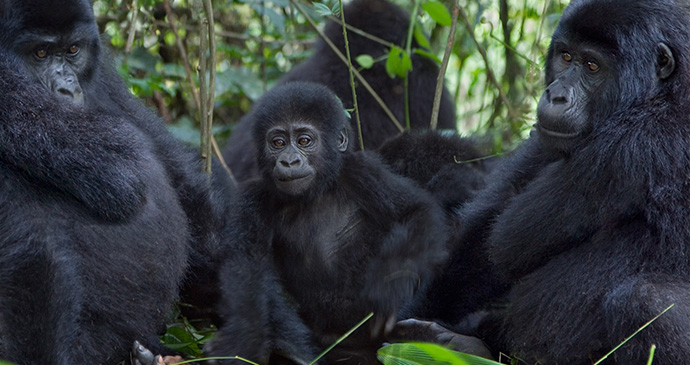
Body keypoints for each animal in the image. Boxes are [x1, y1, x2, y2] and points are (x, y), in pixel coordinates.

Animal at [0, 0, 234, 362]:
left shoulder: (105, 77)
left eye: (73, 50)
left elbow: (177, 172)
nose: (67, 89)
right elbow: (31, 251)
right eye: (39, 53)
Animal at [210, 82, 446, 364]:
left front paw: (391, 286)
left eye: (304, 141)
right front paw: (242, 342)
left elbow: (415, 211)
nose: (289, 161)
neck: (315, 193)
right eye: (277, 142)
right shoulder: (251, 199)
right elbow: (246, 269)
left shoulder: (363, 170)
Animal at [460, 0, 690, 362]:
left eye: (593, 66)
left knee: (646, 304)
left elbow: (506, 241)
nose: (555, 96)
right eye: (566, 57)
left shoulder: (634, 145)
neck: (666, 91)